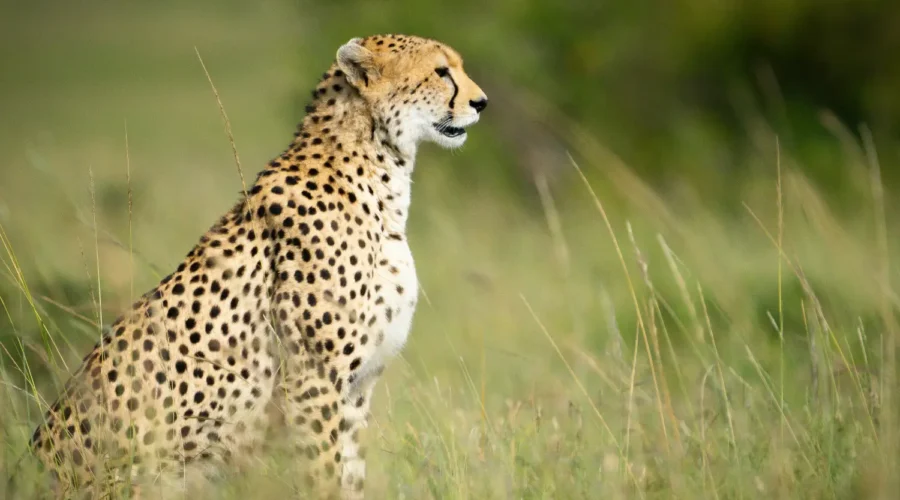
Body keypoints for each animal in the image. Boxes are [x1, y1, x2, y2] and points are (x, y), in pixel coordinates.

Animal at [26, 33, 487, 499]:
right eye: (441, 71)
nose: (481, 102)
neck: (380, 170)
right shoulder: (312, 381)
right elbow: (322, 474)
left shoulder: (357, 389)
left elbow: (350, 475)